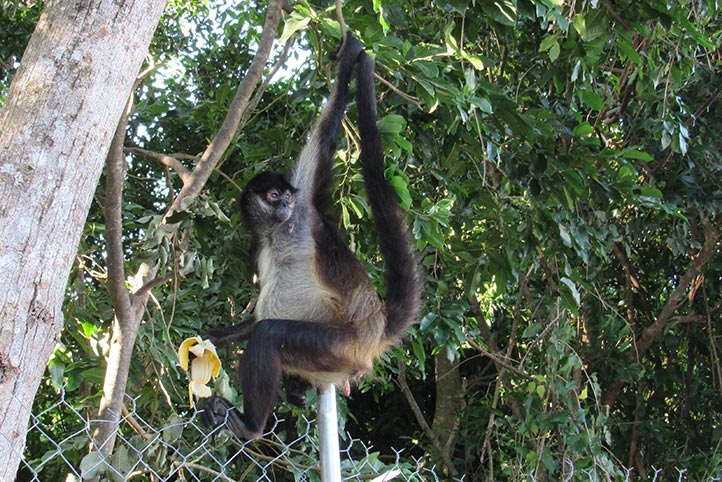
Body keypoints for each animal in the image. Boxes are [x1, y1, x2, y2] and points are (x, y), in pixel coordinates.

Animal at [200, 34, 422, 440]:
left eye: (286, 195)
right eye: (273, 196)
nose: (285, 202)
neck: (276, 232)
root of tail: (375, 325)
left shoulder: (304, 213)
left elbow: (326, 132)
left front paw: (348, 59)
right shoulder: (260, 242)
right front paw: (217, 335)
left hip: (339, 345)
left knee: (269, 334)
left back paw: (251, 426)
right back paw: (293, 391)